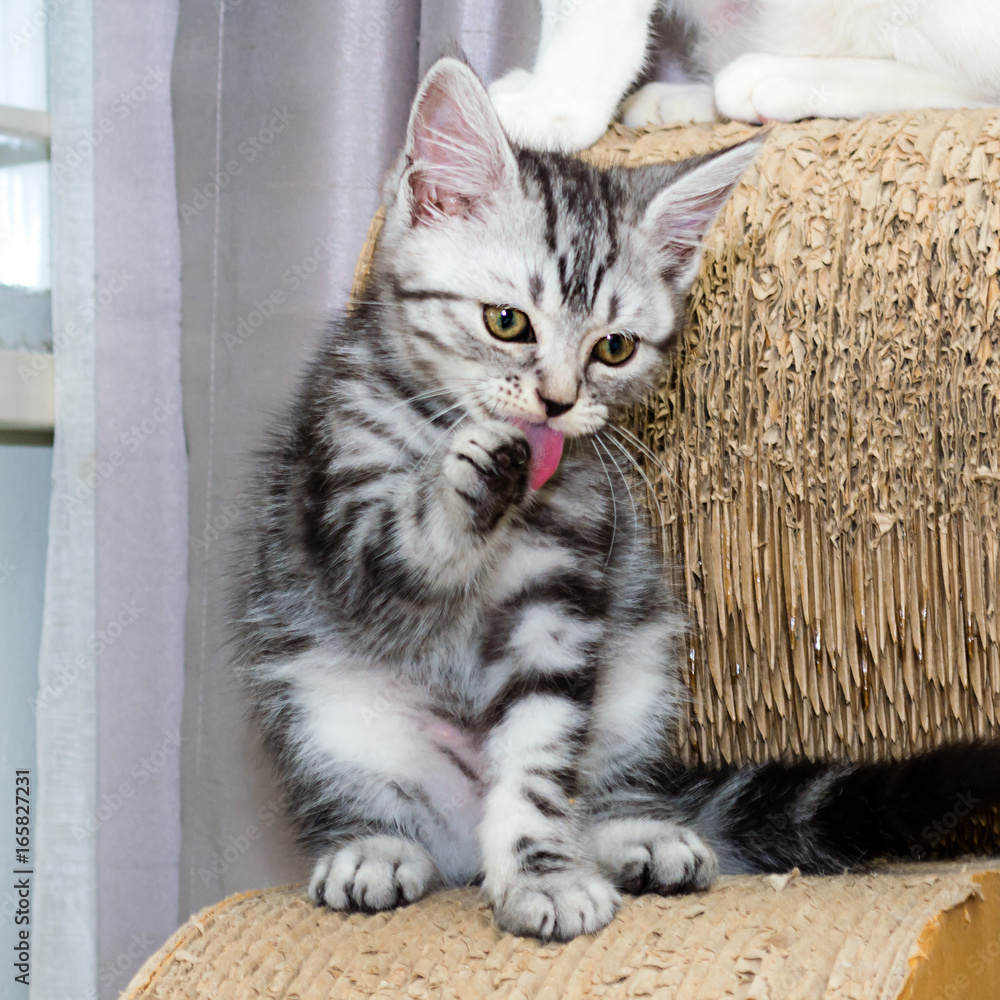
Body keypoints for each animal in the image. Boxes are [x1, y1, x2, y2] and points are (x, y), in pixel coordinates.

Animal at [236, 58, 1000, 940]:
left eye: (614, 347)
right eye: (507, 322)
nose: (558, 403)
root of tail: (459, 842)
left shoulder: (562, 600)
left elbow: (539, 764)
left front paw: (543, 871)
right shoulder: (337, 509)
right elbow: (400, 546)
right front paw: (474, 468)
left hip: (635, 679)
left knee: (597, 786)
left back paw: (636, 838)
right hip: (326, 708)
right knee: (361, 799)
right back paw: (373, 850)